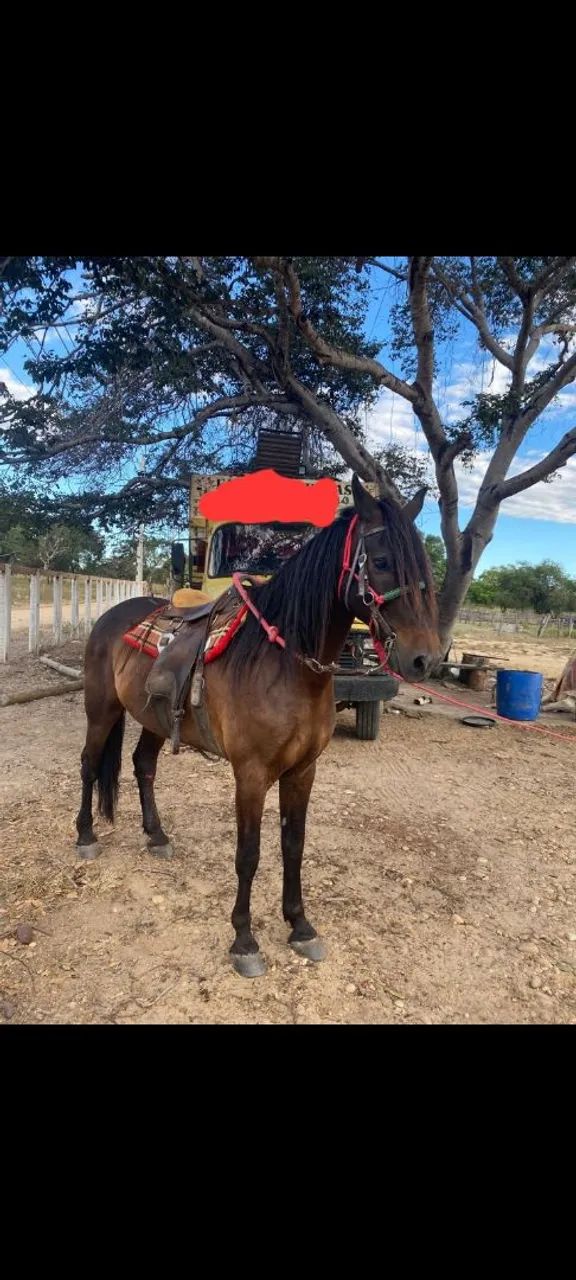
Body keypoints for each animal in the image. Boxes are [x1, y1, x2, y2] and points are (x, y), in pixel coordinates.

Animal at [75, 476, 441, 977]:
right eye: (382, 562)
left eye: (424, 565)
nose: (425, 658)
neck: (284, 665)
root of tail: (112, 617)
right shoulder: (250, 774)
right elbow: (248, 854)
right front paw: (244, 941)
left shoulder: (302, 771)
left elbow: (293, 844)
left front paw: (300, 927)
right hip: (102, 710)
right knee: (90, 765)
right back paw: (85, 836)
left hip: (153, 718)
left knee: (142, 765)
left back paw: (157, 835)